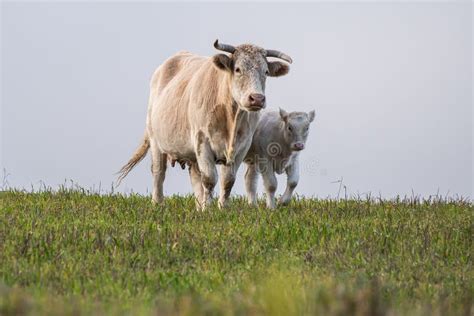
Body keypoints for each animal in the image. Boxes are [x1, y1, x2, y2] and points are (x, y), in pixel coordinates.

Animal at [116, 40, 290, 209]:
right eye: (238, 69)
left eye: (266, 72)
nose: (257, 98)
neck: (231, 118)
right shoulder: (202, 141)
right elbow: (209, 178)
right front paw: (208, 209)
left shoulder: (242, 147)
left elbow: (227, 180)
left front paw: (222, 208)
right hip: (155, 140)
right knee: (159, 172)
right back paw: (158, 203)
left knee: (195, 177)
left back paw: (199, 206)